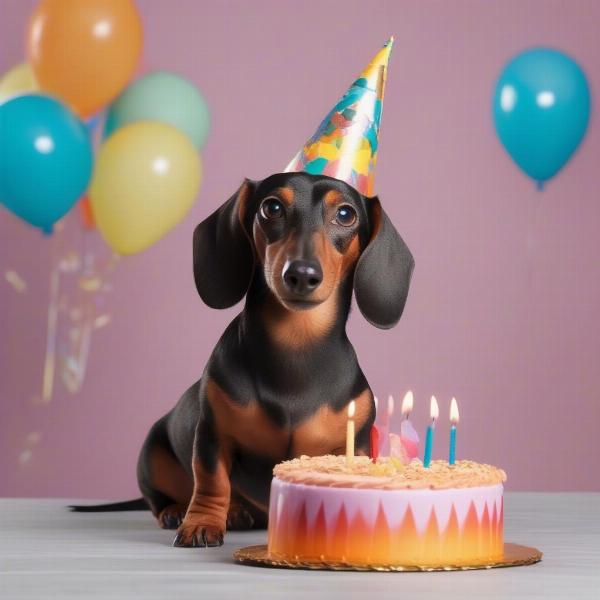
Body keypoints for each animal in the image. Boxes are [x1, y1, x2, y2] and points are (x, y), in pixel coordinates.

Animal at [74, 171, 412, 548]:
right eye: (272, 207)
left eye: (345, 214)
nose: (301, 274)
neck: (297, 345)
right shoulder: (212, 435)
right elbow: (211, 482)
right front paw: (201, 523)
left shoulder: (354, 442)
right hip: (152, 452)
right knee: (158, 497)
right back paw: (183, 511)